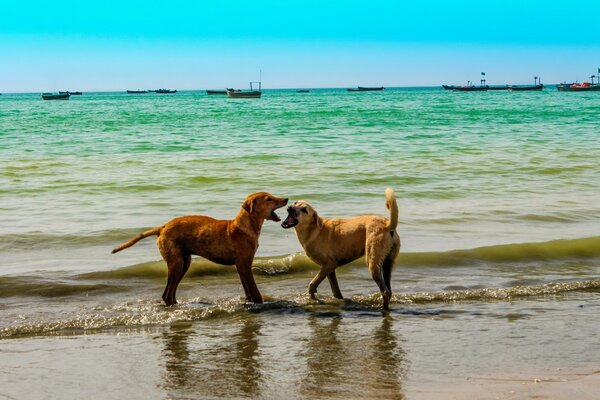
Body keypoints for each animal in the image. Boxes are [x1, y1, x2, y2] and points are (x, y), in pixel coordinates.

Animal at [114, 192, 290, 304]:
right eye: (269, 199)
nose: (287, 199)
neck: (242, 227)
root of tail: (162, 227)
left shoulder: (241, 266)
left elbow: (248, 290)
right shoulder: (244, 265)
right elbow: (254, 290)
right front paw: (259, 302)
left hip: (184, 262)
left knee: (170, 293)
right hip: (176, 262)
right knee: (167, 294)